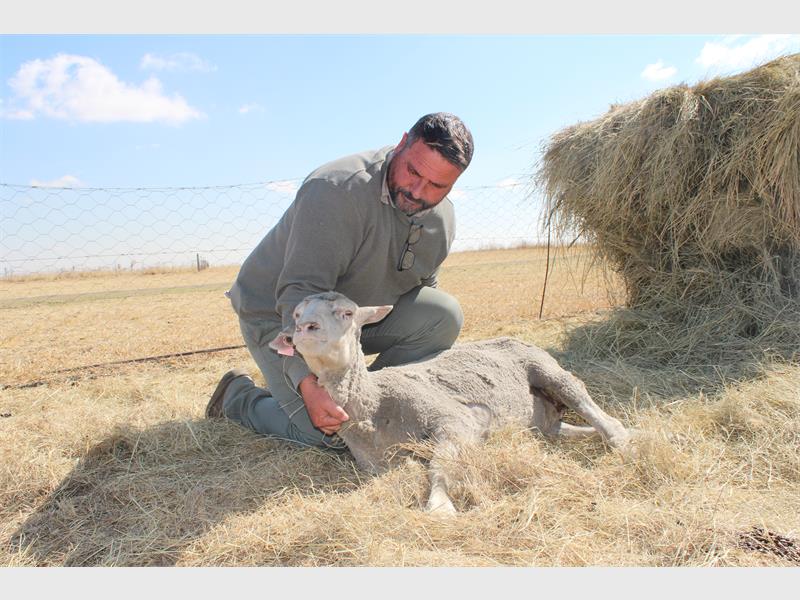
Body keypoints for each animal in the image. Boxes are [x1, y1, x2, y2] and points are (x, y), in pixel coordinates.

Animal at [269, 291, 633, 515]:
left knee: (588, 403)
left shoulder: (456, 419)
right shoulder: (377, 464)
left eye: (347, 312)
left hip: (547, 369)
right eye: (297, 314)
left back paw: (621, 439)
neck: (374, 405)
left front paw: (440, 508)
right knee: (559, 429)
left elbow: (440, 464)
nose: (304, 328)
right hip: (543, 418)